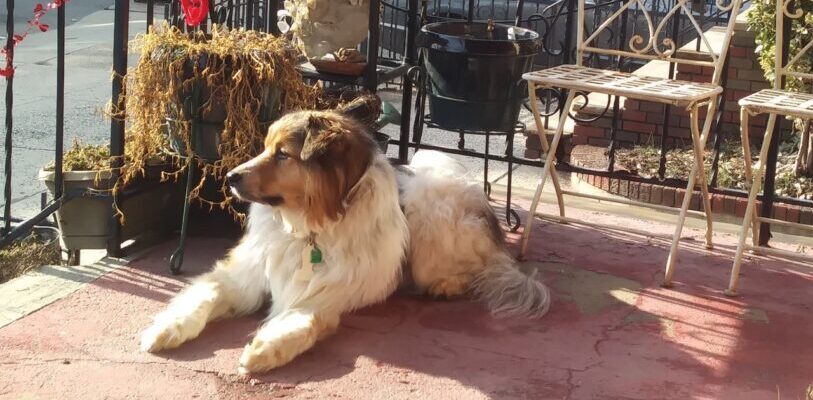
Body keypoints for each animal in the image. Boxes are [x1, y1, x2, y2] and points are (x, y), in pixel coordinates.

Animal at [141, 108, 552, 372]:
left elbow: (304, 322)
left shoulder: (328, 295)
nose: (230, 177)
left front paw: (266, 350)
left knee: (473, 269)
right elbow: (202, 297)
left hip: (429, 217)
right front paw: (165, 329)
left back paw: (446, 285)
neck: (308, 227)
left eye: (283, 155)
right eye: (265, 147)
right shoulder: (240, 276)